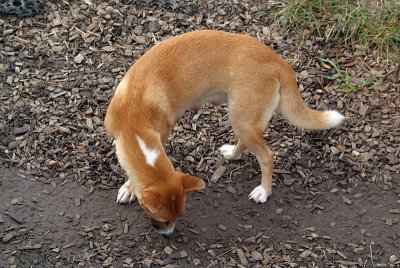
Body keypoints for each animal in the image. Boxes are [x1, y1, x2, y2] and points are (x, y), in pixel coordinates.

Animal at [104, 29, 346, 237]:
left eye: (176, 217)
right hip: (242, 119)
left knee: (267, 156)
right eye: (164, 220)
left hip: (242, 119)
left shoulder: (159, 135)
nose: (169, 235)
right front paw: (129, 187)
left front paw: (129, 188)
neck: (134, 119)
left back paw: (264, 191)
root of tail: (279, 62)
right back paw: (233, 154)